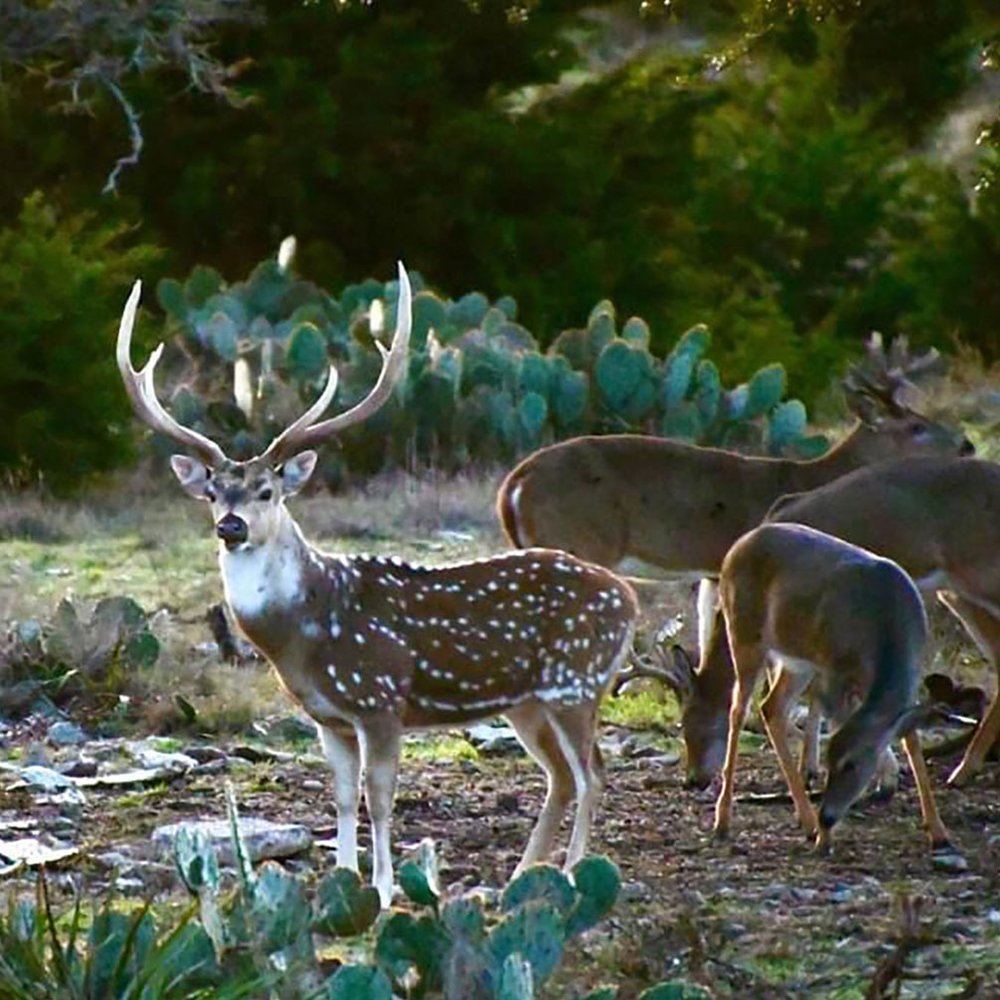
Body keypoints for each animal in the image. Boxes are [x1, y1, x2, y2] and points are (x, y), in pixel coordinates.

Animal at [115, 264, 639, 907]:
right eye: (213, 492)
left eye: (267, 490)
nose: (230, 525)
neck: (303, 633)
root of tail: (629, 599)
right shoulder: (329, 718)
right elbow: (342, 797)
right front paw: (340, 879)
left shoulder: (381, 699)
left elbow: (381, 798)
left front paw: (386, 890)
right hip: (529, 699)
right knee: (563, 776)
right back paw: (519, 878)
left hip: (575, 680)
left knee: (592, 774)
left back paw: (569, 873)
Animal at [709, 522, 951, 854]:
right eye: (830, 761)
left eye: (851, 765)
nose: (828, 817)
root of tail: (736, 547)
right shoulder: (836, 669)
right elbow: (838, 723)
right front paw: (825, 839)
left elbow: (910, 739)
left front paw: (938, 831)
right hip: (744, 633)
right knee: (738, 710)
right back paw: (725, 820)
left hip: (798, 661)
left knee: (771, 707)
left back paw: (805, 820)